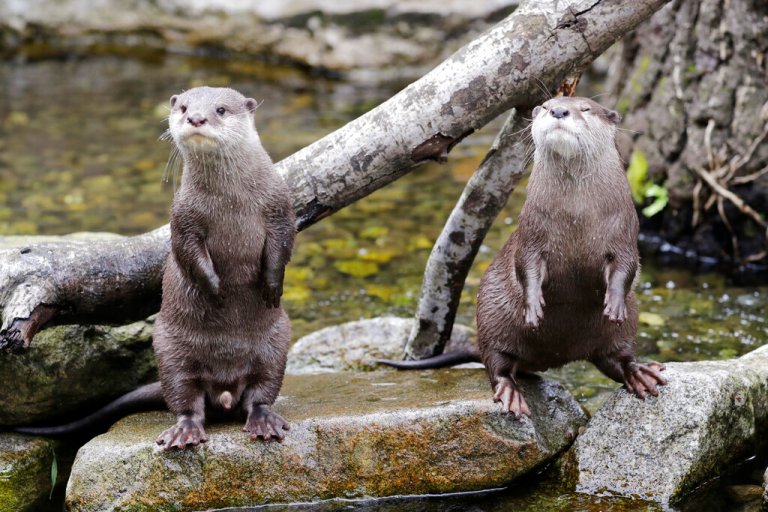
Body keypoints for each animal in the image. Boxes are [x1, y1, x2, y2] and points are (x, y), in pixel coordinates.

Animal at [16, 87, 296, 446]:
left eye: (220, 109)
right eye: (185, 107)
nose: (196, 118)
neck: (232, 203)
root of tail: (225, 390)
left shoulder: (279, 205)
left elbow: (283, 245)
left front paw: (272, 286)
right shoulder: (183, 216)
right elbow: (186, 251)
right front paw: (215, 290)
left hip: (276, 343)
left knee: (261, 392)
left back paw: (263, 421)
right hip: (168, 348)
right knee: (186, 399)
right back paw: (186, 431)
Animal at [382, 97, 666, 418]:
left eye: (585, 108)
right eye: (545, 105)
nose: (558, 110)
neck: (577, 217)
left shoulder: (625, 230)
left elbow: (626, 267)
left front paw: (614, 304)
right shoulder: (531, 231)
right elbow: (525, 266)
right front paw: (533, 307)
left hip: (622, 331)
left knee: (619, 359)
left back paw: (641, 373)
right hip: (491, 320)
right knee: (497, 364)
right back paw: (510, 394)